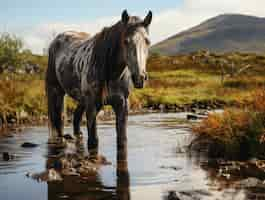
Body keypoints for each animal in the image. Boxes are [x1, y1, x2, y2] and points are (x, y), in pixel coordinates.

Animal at [45, 9, 152, 158]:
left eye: (147, 42)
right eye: (126, 41)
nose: (140, 78)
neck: (112, 75)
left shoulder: (122, 105)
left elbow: (122, 140)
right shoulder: (92, 106)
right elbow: (93, 141)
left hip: (81, 100)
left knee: (76, 119)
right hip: (56, 92)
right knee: (58, 121)